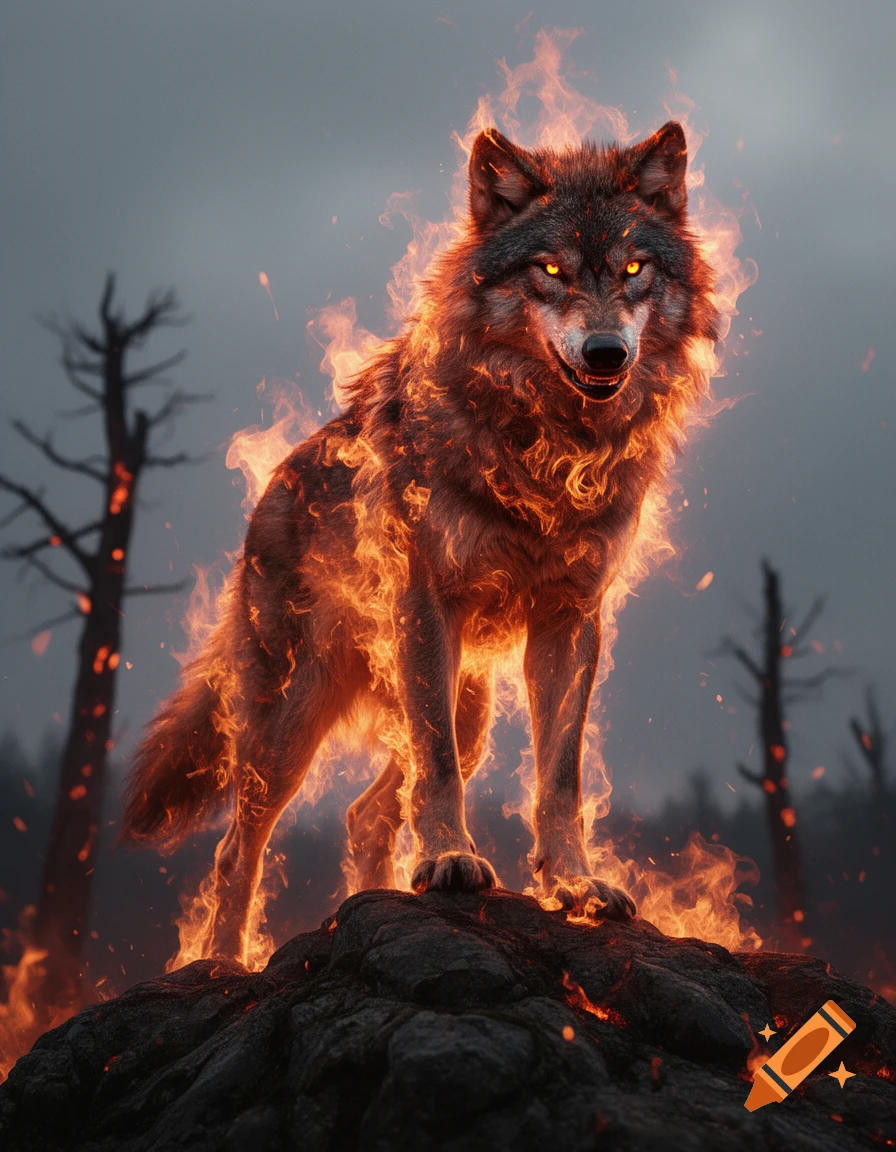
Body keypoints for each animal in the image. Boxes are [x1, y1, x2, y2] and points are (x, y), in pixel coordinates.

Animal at [122, 121, 719, 966]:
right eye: (550, 271)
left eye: (635, 269)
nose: (606, 353)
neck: (545, 445)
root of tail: (274, 487)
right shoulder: (426, 604)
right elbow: (435, 771)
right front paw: (448, 861)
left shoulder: (571, 622)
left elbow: (560, 778)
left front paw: (573, 884)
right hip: (293, 719)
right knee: (239, 848)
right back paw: (222, 963)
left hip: (468, 710)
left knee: (366, 813)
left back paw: (372, 902)